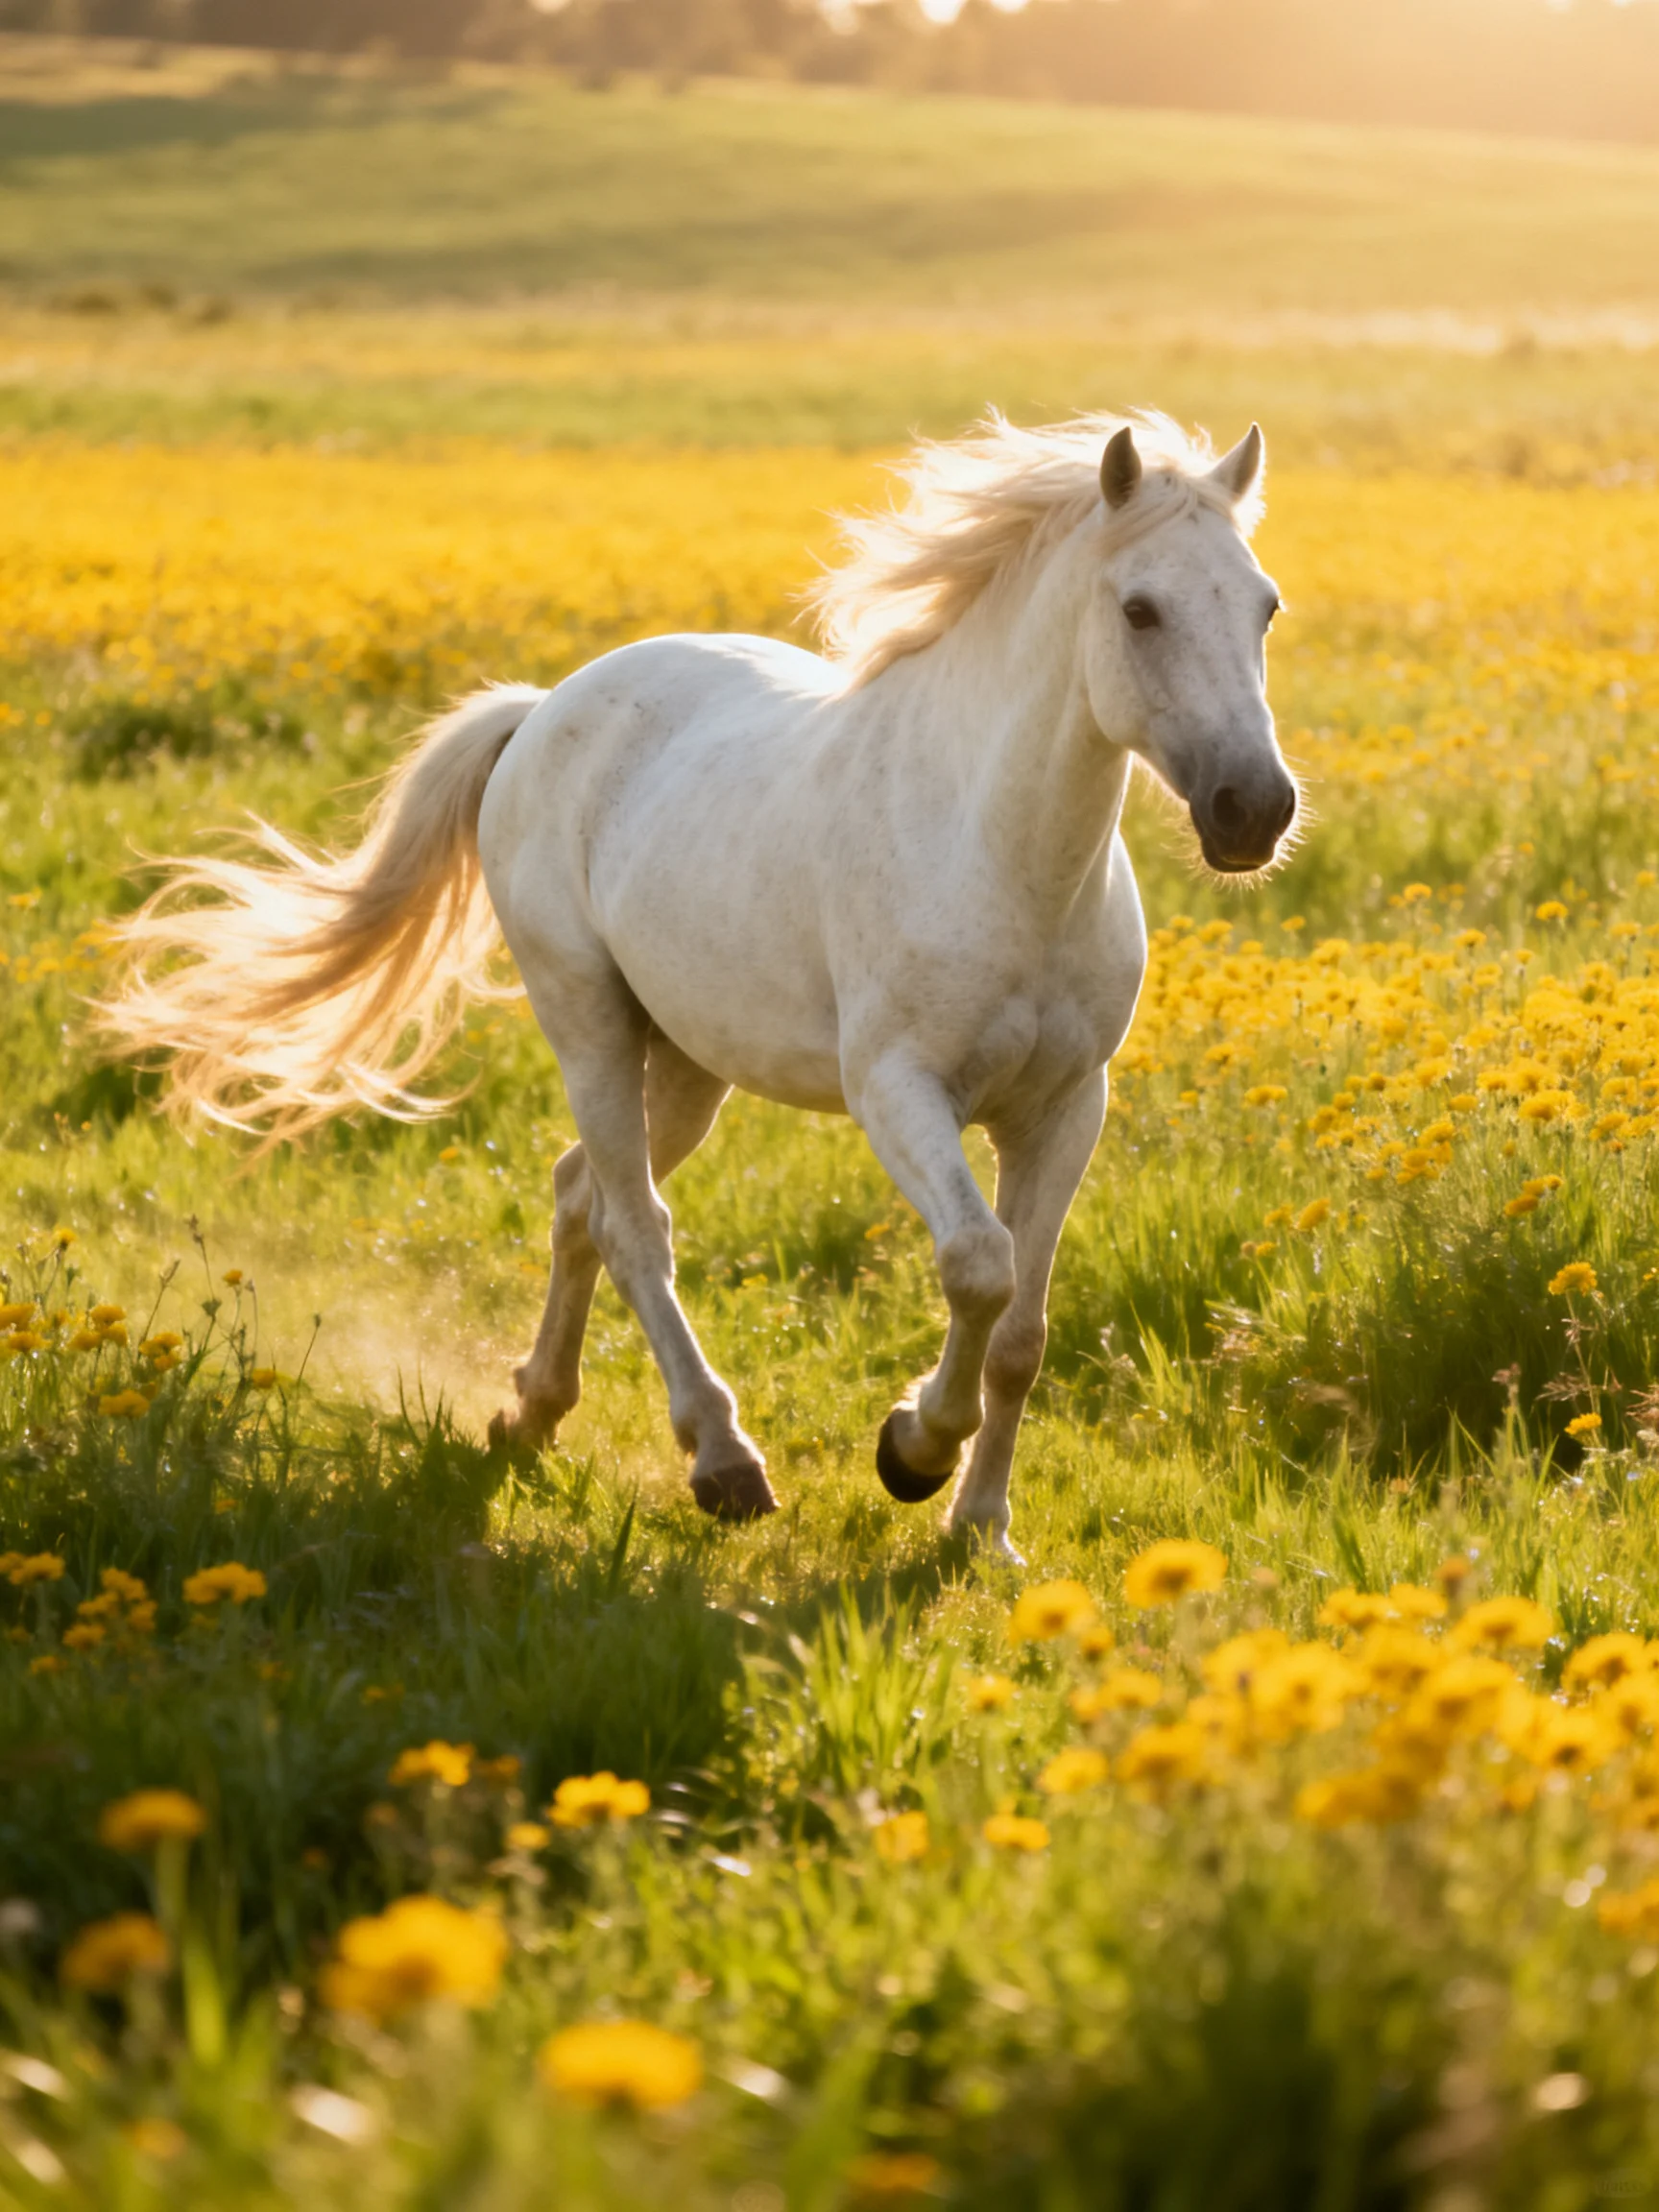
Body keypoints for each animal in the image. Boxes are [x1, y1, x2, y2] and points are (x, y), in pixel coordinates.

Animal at [102, 411, 1296, 1559]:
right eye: (1140, 610)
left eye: (1266, 607)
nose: (1256, 810)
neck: (1001, 854)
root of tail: (543, 711)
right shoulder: (897, 1090)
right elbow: (978, 1265)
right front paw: (911, 1452)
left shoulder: (1064, 1107)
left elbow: (1021, 1332)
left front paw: (979, 1529)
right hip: (587, 1021)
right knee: (636, 1225)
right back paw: (723, 1463)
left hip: (684, 1059)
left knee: (582, 1197)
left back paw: (532, 1414)